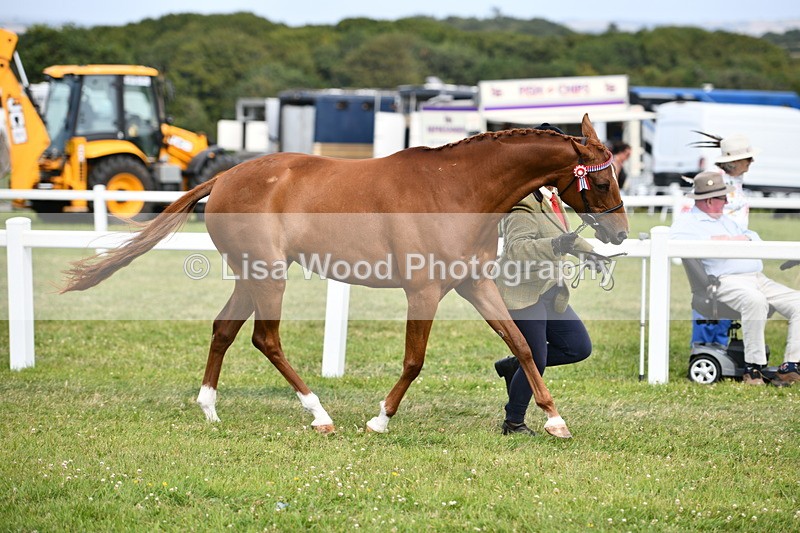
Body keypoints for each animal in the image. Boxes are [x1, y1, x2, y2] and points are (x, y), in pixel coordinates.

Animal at [62, 114, 628, 438]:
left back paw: (210, 409)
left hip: (251, 275)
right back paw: (319, 414)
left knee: (224, 330)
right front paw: (380, 419)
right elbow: (415, 360)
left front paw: (555, 419)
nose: (620, 232)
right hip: (269, 276)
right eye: (602, 180)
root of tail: (224, 176)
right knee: (265, 338)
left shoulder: (476, 284)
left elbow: (523, 345)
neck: (456, 189)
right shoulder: (423, 290)